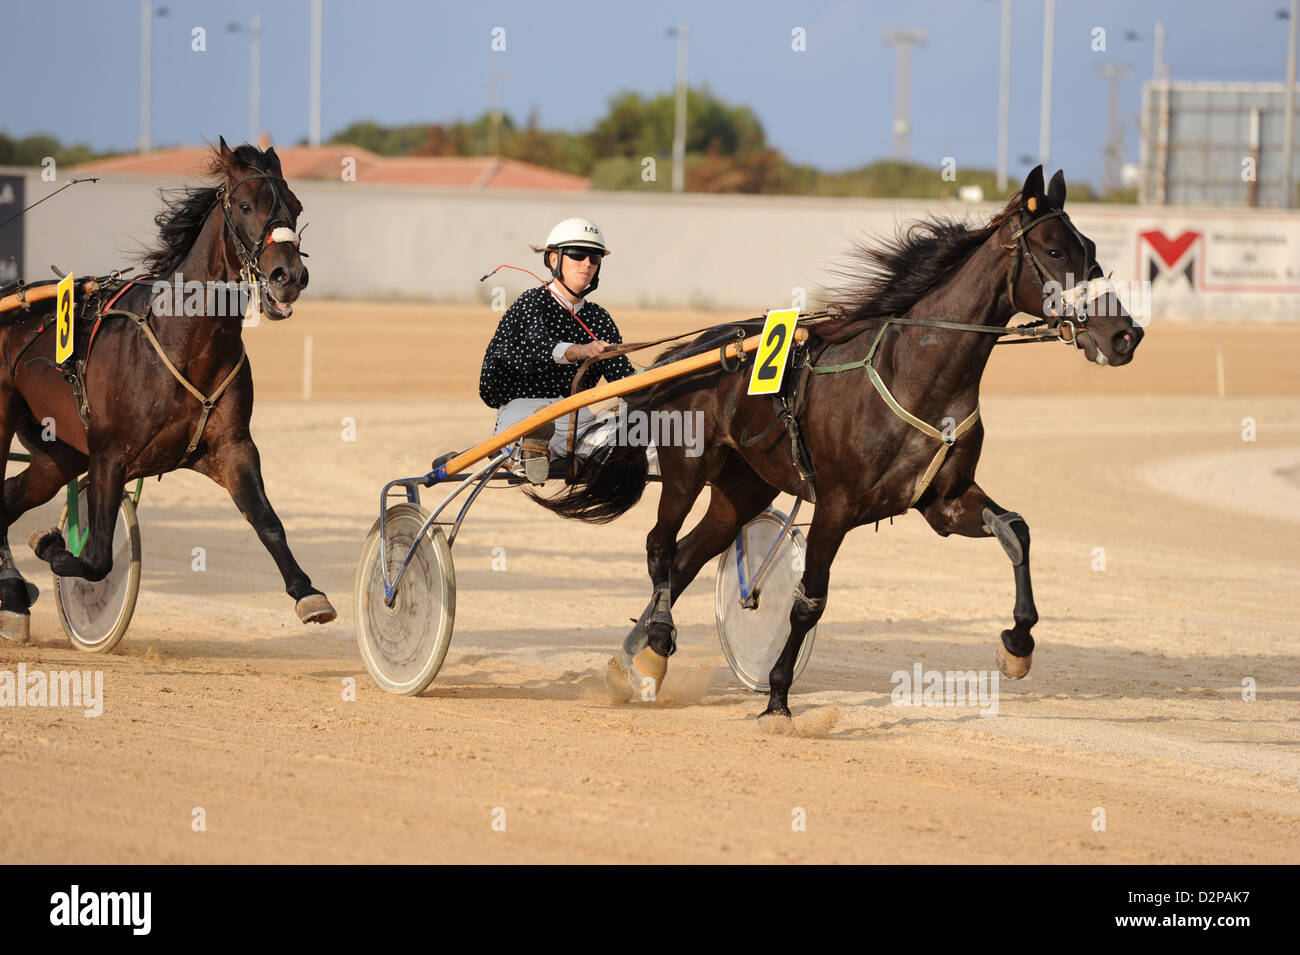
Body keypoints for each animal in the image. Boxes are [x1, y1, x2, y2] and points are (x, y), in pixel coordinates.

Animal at [1, 138, 335, 647]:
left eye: (295, 208)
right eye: (245, 205)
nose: (288, 276)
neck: (184, 340)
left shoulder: (232, 448)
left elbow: (268, 522)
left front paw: (308, 592)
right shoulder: (108, 455)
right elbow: (96, 558)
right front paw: (50, 542)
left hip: (57, 454)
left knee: (8, 496)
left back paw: (13, 592)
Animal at [533, 166, 1144, 717]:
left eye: (1091, 249)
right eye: (1054, 250)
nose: (1125, 335)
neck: (916, 373)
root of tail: (697, 349)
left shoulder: (942, 502)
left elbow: (1016, 531)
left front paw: (1017, 645)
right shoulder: (837, 504)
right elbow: (809, 601)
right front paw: (777, 696)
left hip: (744, 487)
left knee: (684, 559)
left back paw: (635, 656)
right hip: (688, 468)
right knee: (660, 546)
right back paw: (656, 644)